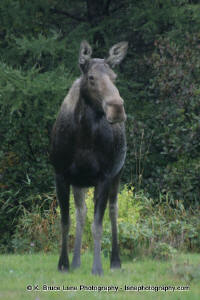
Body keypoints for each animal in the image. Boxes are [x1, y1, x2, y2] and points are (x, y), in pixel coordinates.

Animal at [50, 41, 128, 276]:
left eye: (114, 77)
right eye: (91, 77)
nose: (117, 108)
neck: (83, 135)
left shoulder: (104, 175)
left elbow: (98, 225)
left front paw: (97, 268)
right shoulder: (61, 174)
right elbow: (66, 221)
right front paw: (64, 263)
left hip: (118, 173)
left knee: (113, 211)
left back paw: (115, 261)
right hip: (80, 181)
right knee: (81, 212)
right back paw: (76, 262)